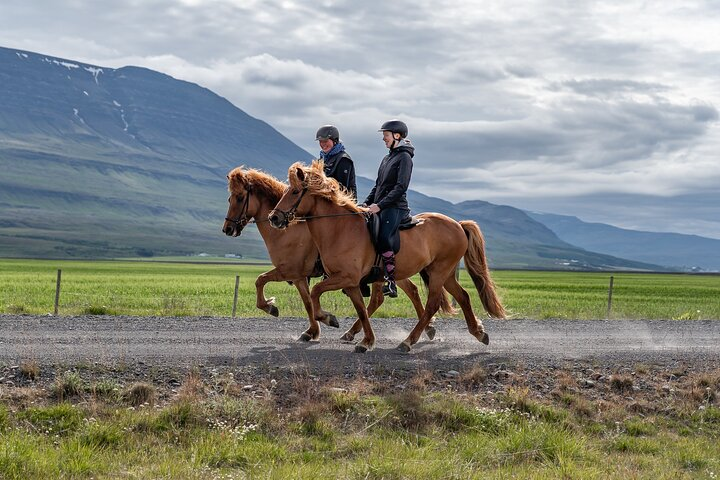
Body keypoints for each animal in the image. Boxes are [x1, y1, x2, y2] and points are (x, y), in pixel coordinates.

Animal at [219, 167, 436, 344]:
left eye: (240, 197)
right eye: (229, 198)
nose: (227, 229)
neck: (289, 231)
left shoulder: (289, 270)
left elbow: (260, 280)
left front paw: (271, 308)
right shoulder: (299, 277)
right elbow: (308, 302)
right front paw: (312, 331)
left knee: (384, 297)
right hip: (392, 272)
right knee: (408, 291)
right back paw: (427, 329)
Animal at [266, 160, 506, 352]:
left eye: (294, 192)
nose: (273, 218)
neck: (339, 229)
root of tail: (458, 224)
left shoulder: (344, 277)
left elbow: (315, 292)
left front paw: (328, 319)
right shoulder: (350, 282)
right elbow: (361, 310)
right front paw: (366, 341)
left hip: (439, 271)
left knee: (432, 305)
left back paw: (408, 342)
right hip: (442, 273)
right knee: (463, 296)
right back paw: (479, 333)